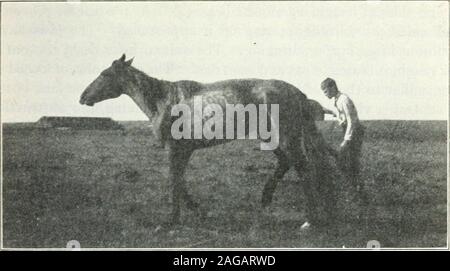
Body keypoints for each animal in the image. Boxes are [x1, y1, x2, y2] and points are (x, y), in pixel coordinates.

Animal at [80, 54, 338, 226]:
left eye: (105, 74)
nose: (83, 97)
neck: (164, 100)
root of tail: (298, 93)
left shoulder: (174, 149)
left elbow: (174, 180)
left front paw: (172, 220)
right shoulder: (183, 150)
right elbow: (180, 180)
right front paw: (196, 209)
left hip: (286, 138)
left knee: (303, 169)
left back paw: (310, 220)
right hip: (271, 138)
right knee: (286, 163)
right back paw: (266, 200)